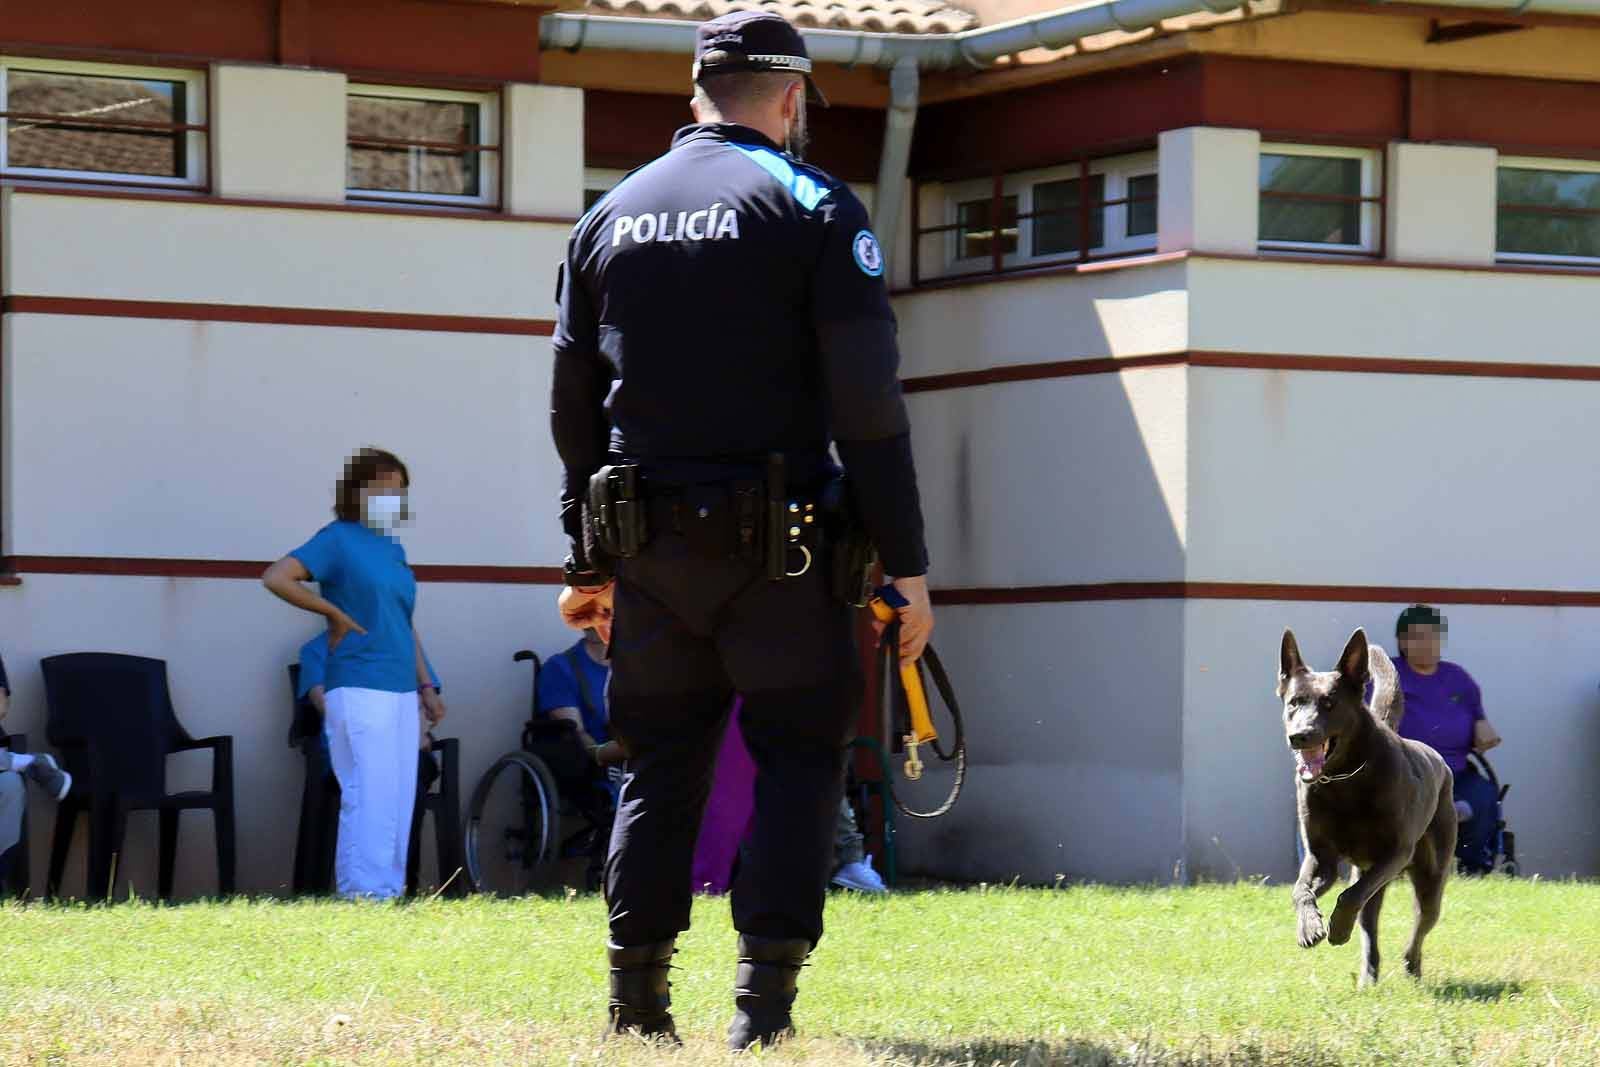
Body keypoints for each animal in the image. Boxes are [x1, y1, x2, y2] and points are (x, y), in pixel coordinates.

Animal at [1280, 630, 1459, 991]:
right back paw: (1368, 977)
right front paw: (1310, 927)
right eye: (1294, 702)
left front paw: (1336, 929)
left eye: (1330, 703)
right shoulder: (1321, 858)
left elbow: (1348, 897)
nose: (1300, 736)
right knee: (1369, 924)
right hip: (1370, 879)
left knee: (1419, 921)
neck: (1342, 779)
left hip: (1430, 878)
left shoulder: (1395, 854)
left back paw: (1411, 967)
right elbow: (1300, 890)